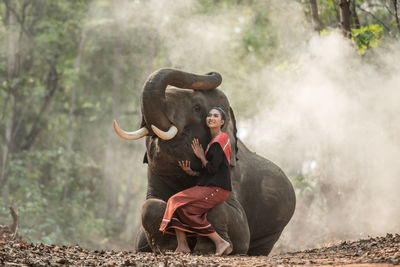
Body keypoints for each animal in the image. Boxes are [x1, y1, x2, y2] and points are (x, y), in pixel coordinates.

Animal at [114, 68, 296, 256]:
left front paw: (210, 249)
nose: (210, 72)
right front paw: (168, 247)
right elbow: (150, 205)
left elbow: (236, 225)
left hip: (275, 227)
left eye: (197, 107)